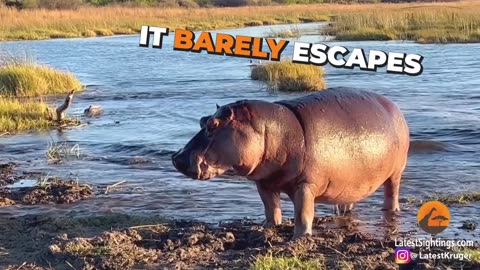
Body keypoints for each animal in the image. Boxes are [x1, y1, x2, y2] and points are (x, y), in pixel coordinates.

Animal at [172, 87, 408, 237]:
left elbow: (303, 214)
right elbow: (271, 208)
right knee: (348, 200)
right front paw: (269, 228)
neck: (270, 130)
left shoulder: (306, 185)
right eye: (202, 120)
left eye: (213, 124)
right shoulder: (264, 183)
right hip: (351, 182)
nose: (177, 158)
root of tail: (395, 107)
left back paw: (391, 211)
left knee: (392, 192)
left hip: (396, 172)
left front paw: (300, 238)